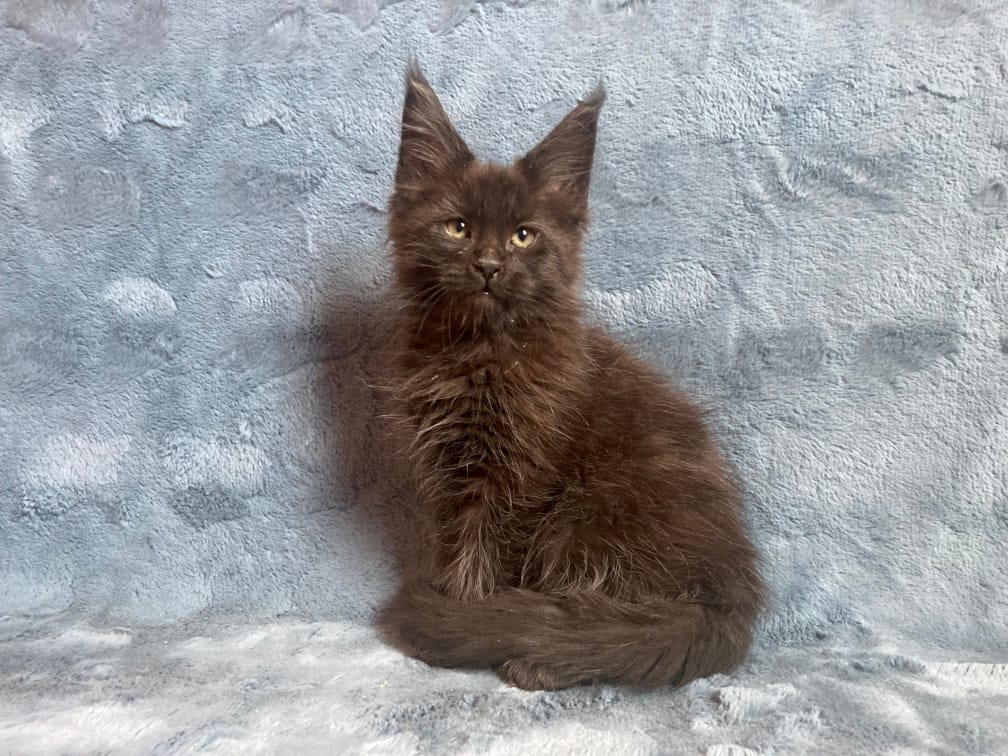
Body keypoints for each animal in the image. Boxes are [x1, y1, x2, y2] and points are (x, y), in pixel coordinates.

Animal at [380, 62, 765, 691]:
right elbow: (458, 544)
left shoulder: (515, 475)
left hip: (592, 514)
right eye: (457, 228)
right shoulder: (448, 469)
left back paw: (537, 659)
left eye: (523, 234)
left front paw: (458, 617)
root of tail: (731, 600)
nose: (489, 266)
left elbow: (482, 552)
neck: (480, 354)